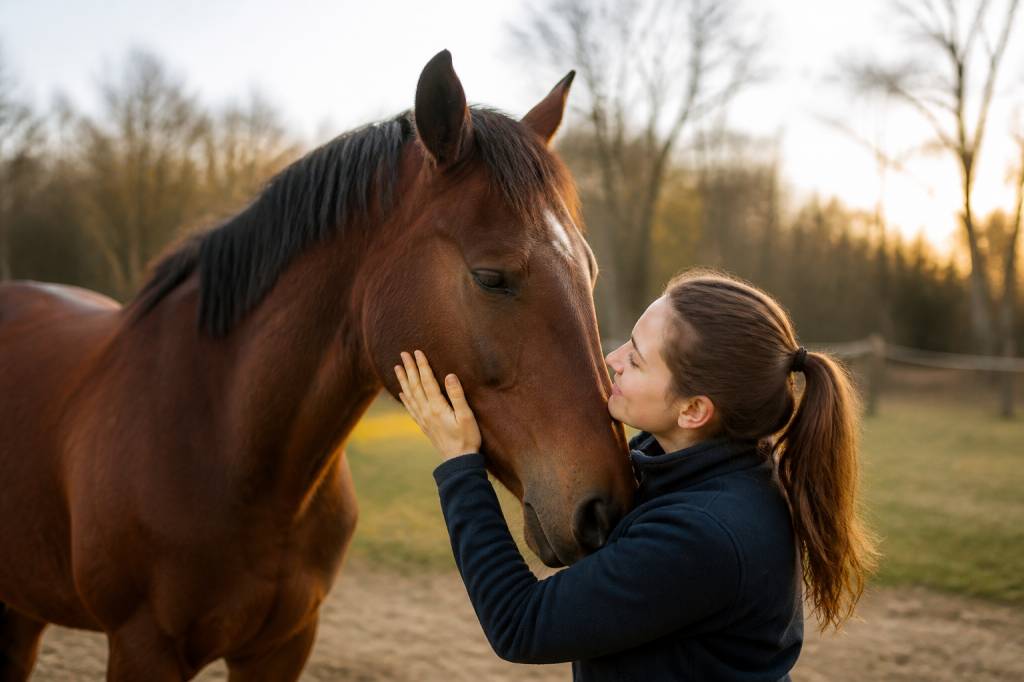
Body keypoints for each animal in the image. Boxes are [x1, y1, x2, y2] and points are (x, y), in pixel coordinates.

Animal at [0, 50, 634, 680]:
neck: (227, 443)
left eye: (590, 270)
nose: (606, 510)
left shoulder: (284, 645)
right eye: (490, 277)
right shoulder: (143, 647)